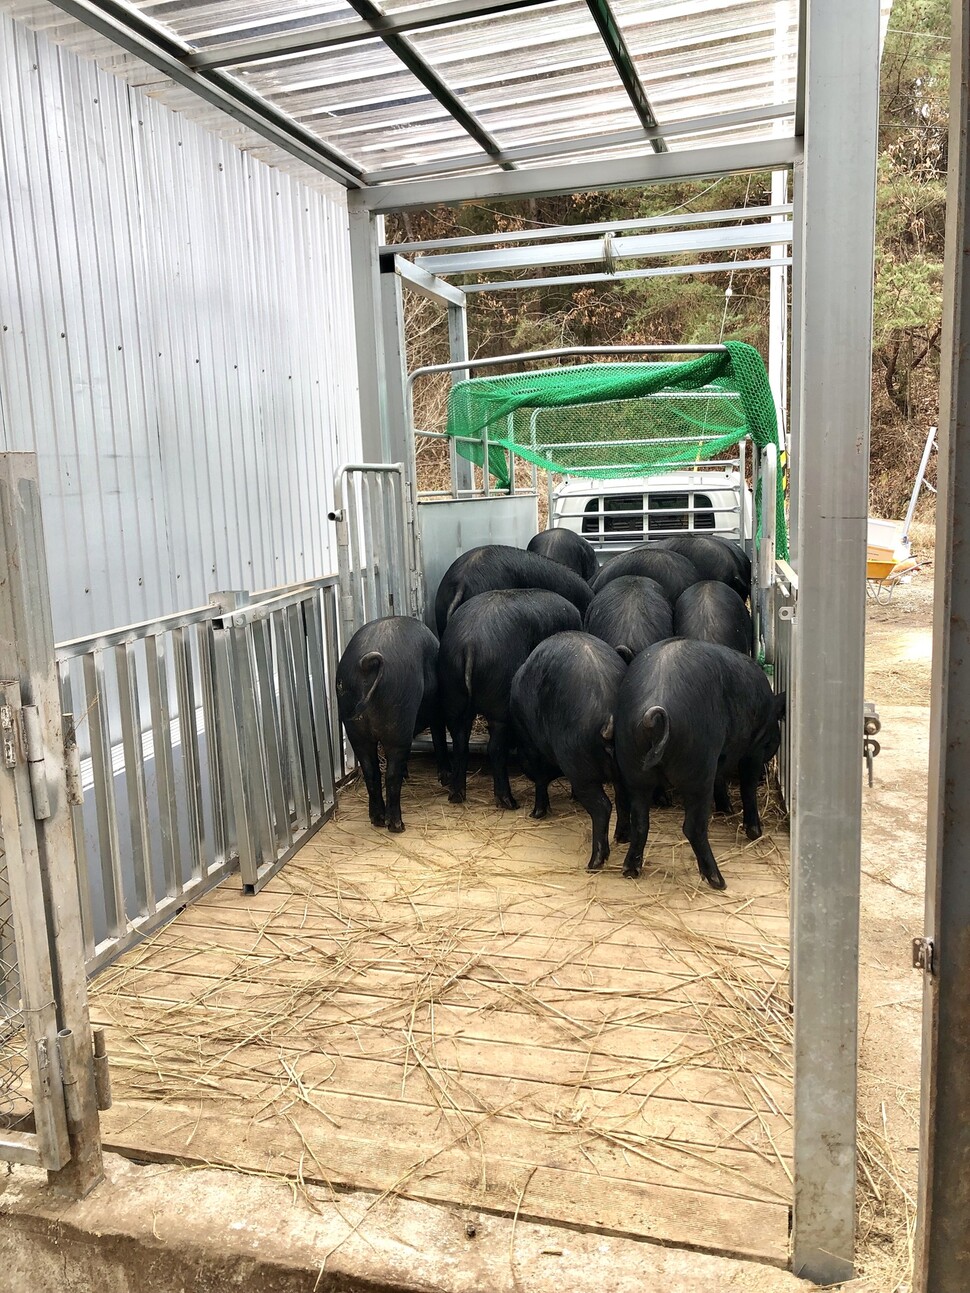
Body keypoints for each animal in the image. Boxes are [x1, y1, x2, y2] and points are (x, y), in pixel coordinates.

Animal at [336, 618, 450, 837]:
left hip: (355, 730)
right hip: (399, 720)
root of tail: (366, 663)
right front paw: (445, 777)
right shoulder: (438, 710)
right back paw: (397, 826)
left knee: (371, 772)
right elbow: (439, 738)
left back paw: (378, 819)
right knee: (391, 774)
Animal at [439, 589, 584, 806]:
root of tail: (469, 645)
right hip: (499, 699)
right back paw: (509, 802)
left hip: (453, 692)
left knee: (460, 742)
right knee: (495, 748)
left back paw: (456, 796)